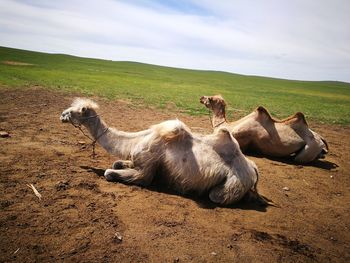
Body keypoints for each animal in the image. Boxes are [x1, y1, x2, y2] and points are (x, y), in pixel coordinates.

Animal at [60, 97, 268, 206]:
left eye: (74, 111)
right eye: (70, 108)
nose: (61, 115)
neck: (137, 139)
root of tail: (252, 168)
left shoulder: (146, 169)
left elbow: (111, 173)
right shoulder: (137, 160)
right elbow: (116, 163)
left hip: (231, 185)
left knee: (216, 196)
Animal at [200, 96, 328, 164]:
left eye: (210, 99)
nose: (201, 98)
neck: (228, 125)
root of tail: (321, 138)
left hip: (309, 148)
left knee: (298, 158)